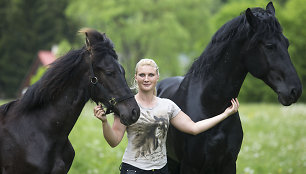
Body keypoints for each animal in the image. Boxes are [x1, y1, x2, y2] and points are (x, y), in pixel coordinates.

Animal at [158, 2, 302, 173]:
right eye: (269, 45)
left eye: (287, 43)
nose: (295, 90)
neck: (210, 106)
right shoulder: (189, 166)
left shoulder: (229, 164)